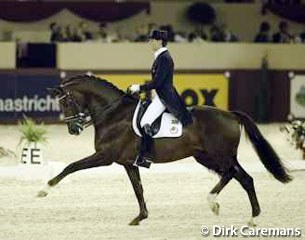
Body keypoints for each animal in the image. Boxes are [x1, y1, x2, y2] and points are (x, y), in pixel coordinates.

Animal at [36, 74, 290, 226]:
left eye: (66, 102)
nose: (74, 129)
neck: (113, 114)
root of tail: (230, 114)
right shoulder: (128, 163)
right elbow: (138, 189)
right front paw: (140, 217)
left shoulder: (104, 157)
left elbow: (71, 166)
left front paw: (44, 190)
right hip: (205, 157)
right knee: (231, 175)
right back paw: (216, 203)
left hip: (221, 155)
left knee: (244, 178)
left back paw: (251, 217)